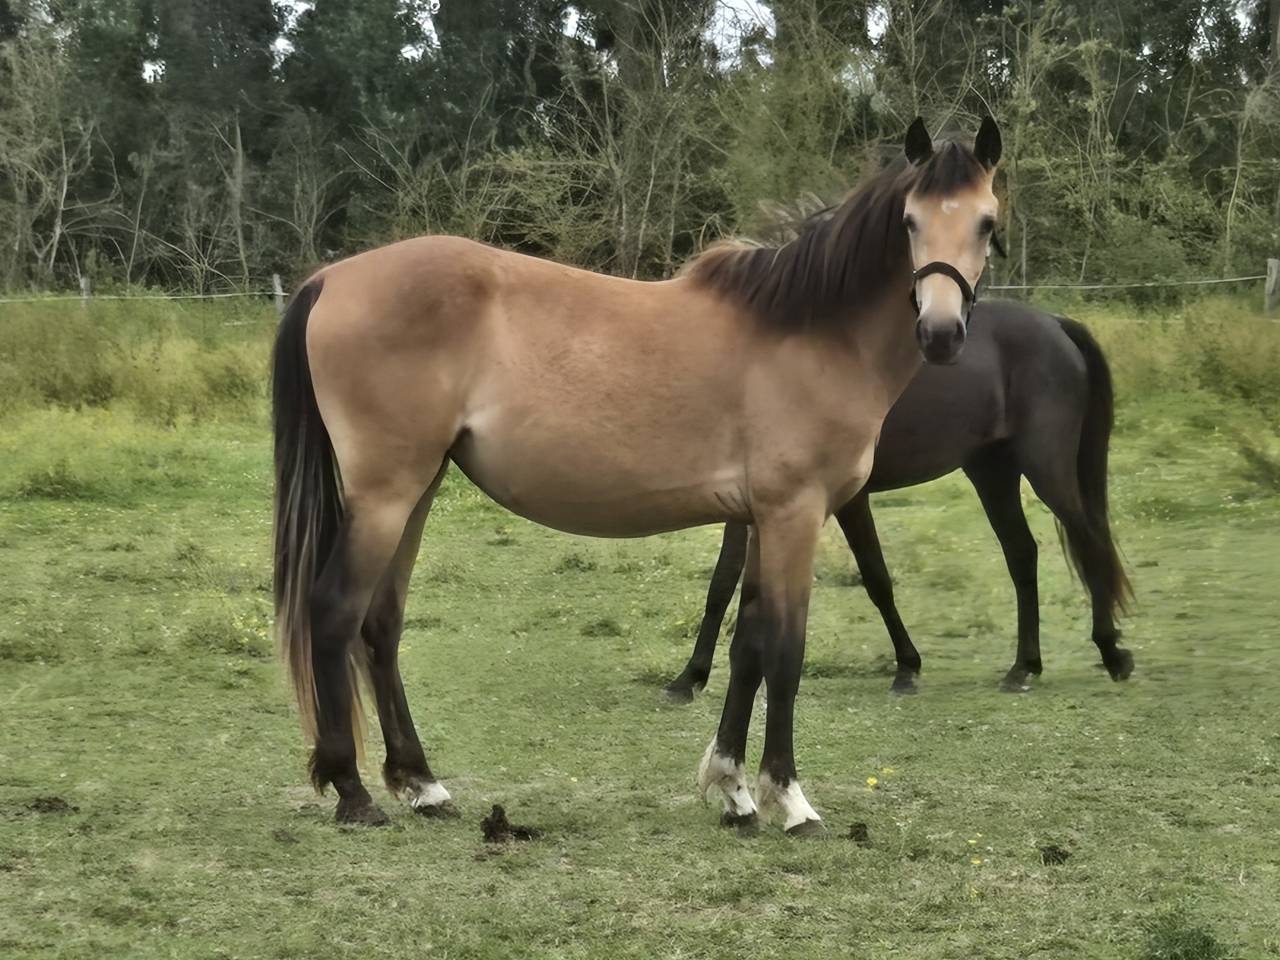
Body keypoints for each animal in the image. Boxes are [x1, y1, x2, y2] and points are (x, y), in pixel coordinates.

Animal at [271, 116, 1004, 835]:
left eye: (987, 223)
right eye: (908, 221)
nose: (941, 333)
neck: (810, 330)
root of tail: (330, 279)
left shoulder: (759, 517)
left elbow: (749, 647)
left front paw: (733, 791)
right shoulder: (795, 513)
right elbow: (785, 652)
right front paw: (789, 800)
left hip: (416, 493)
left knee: (381, 624)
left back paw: (422, 786)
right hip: (386, 496)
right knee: (334, 612)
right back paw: (353, 793)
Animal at [663, 301, 1135, 702]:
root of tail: (1055, 323)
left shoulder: (849, 501)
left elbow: (876, 578)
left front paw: (907, 667)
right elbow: (722, 584)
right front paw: (689, 678)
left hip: (1045, 468)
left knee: (1089, 540)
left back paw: (1111, 653)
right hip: (992, 472)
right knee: (1022, 554)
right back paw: (1024, 667)